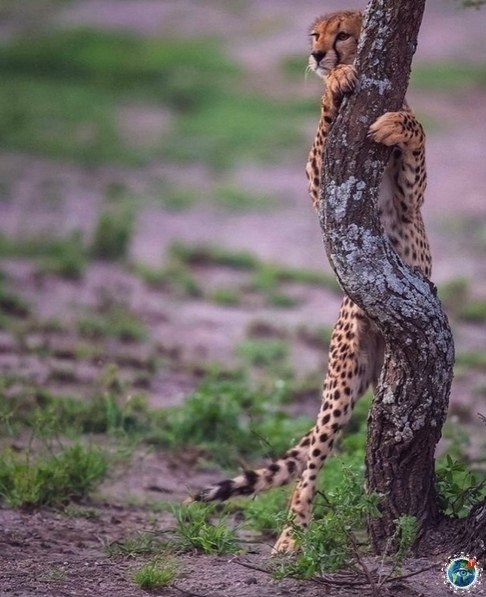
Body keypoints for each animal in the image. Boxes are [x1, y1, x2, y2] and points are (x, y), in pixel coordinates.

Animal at [189, 10, 431, 554]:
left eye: (343, 34)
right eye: (316, 35)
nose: (319, 55)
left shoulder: (412, 201)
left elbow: (416, 133)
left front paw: (396, 121)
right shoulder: (326, 188)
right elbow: (321, 139)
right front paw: (335, 86)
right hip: (343, 377)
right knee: (312, 463)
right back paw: (290, 535)